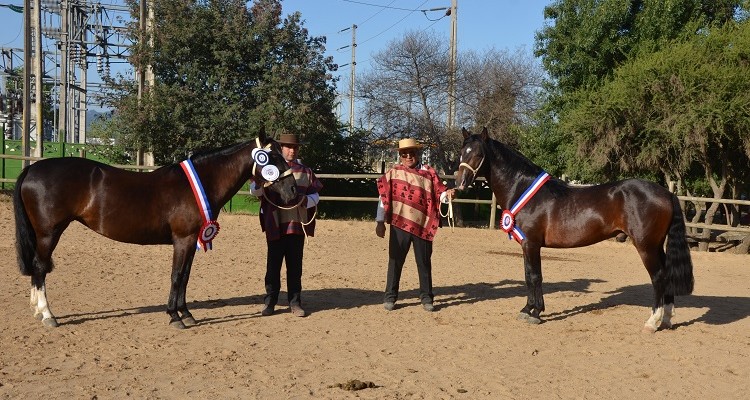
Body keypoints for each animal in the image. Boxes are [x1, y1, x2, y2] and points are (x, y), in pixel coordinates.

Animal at [13, 134, 298, 328]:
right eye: (272, 158)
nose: (293, 190)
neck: (199, 183)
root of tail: (32, 168)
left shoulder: (193, 240)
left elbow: (185, 277)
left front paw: (186, 314)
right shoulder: (183, 240)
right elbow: (177, 276)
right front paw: (174, 317)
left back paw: (38, 310)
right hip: (49, 233)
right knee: (40, 267)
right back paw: (48, 315)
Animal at [456, 127, 696, 332]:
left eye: (478, 154)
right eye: (462, 152)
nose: (460, 183)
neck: (523, 190)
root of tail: (667, 193)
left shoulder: (531, 243)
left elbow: (534, 276)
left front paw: (535, 312)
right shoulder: (527, 245)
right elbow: (528, 275)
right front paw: (527, 309)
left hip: (646, 247)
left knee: (658, 277)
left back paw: (652, 322)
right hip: (657, 246)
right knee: (666, 276)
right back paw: (667, 319)